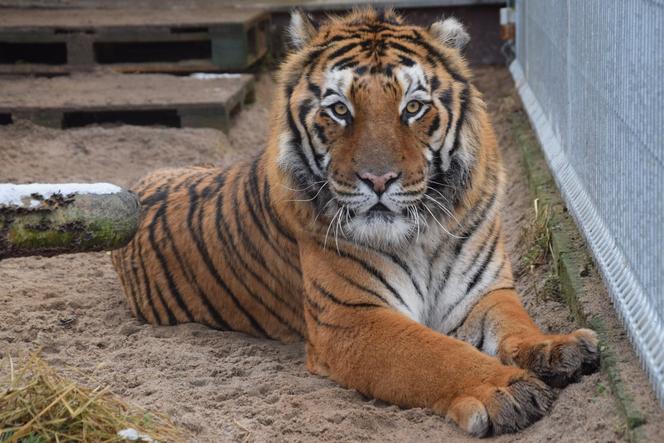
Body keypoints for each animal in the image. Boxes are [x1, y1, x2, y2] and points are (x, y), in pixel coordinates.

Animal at [113, 8, 600, 438]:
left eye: (413, 107)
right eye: (340, 110)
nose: (378, 179)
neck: (422, 235)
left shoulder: (483, 294)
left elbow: (517, 325)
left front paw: (560, 349)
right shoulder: (352, 319)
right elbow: (439, 355)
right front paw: (508, 390)